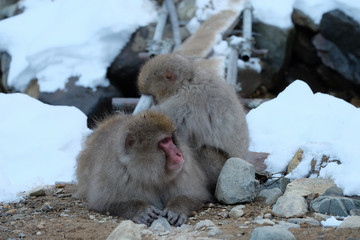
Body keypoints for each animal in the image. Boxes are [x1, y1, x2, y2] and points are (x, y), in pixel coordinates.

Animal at [75, 110, 211, 227]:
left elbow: (195, 197)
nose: (179, 153)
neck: (146, 172)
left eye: (171, 139)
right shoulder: (113, 173)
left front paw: (177, 208)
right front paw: (140, 209)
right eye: (164, 141)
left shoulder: (184, 170)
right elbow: (103, 203)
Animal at [136, 53, 249, 193]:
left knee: (206, 150)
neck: (187, 81)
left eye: (153, 96)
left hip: (221, 165)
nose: (155, 102)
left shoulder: (186, 102)